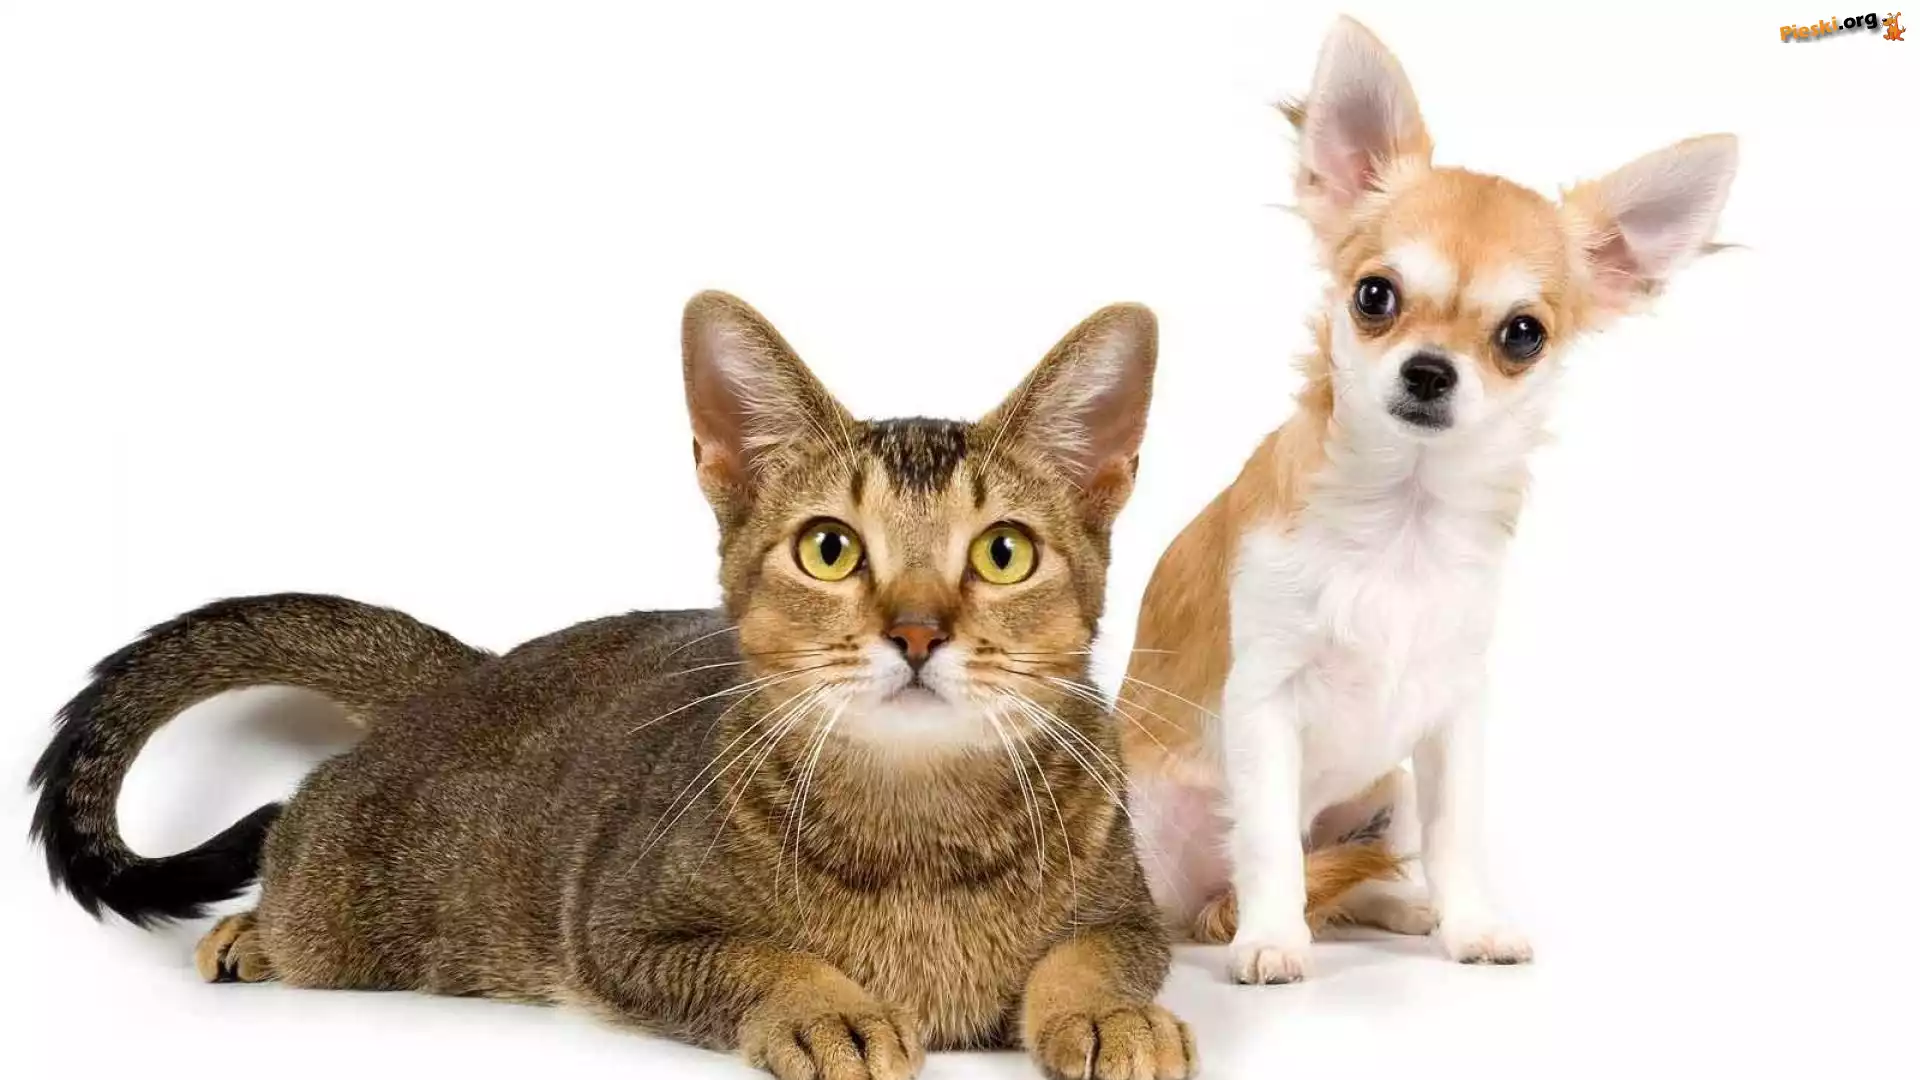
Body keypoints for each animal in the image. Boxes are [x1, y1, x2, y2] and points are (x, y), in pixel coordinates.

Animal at [32, 291, 1239, 1080]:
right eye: (831, 549)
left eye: (1002, 553)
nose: (914, 632)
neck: (918, 827)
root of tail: (477, 667)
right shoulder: (623, 932)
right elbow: (760, 957)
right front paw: (828, 1010)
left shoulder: (1133, 910)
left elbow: (1095, 956)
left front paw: (1109, 1017)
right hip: (349, 897)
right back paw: (248, 934)